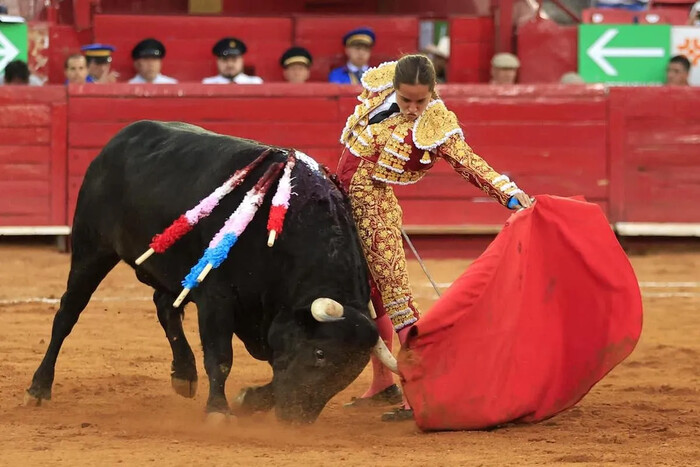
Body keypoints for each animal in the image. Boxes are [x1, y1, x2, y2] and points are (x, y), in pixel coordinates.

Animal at [27, 120, 396, 424]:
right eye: (320, 354)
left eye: (351, 371)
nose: (296, 419)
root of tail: (116, 142)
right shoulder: (217, 298)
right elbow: (221, 356)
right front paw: (219, 410)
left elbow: (275, 369)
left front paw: (250, 399)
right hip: (92, 249)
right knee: (68, 312)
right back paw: (39, 388)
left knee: (165, 306)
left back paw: (184, 374)